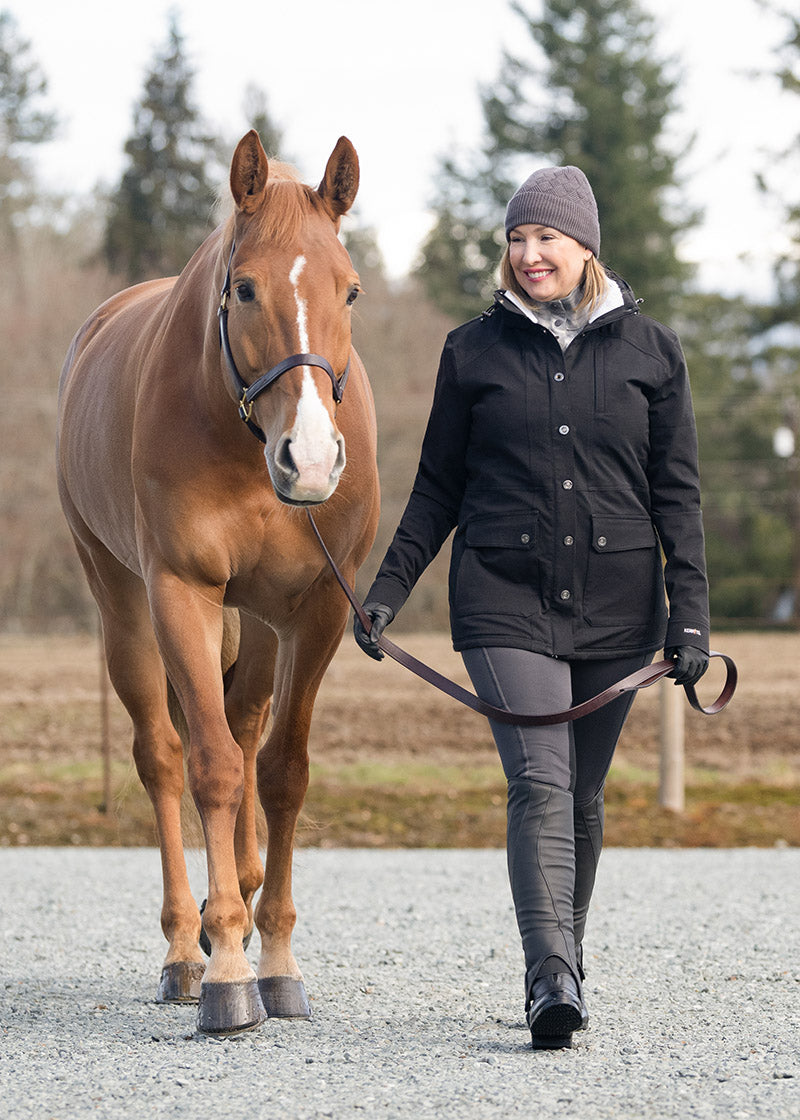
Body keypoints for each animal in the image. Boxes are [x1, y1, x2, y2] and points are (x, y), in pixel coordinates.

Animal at [56, 128, 380, 1030]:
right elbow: (210, 769)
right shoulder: (182, 594)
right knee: (164, 758)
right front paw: (232, 968)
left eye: (350, 290)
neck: (244, 439)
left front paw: (276, 957)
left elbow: (280, 773)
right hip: (124, 606)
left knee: (244, 729)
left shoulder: (314, 613)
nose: (312, 460)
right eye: (244, 288)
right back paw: (184, 946)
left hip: (260, 628)